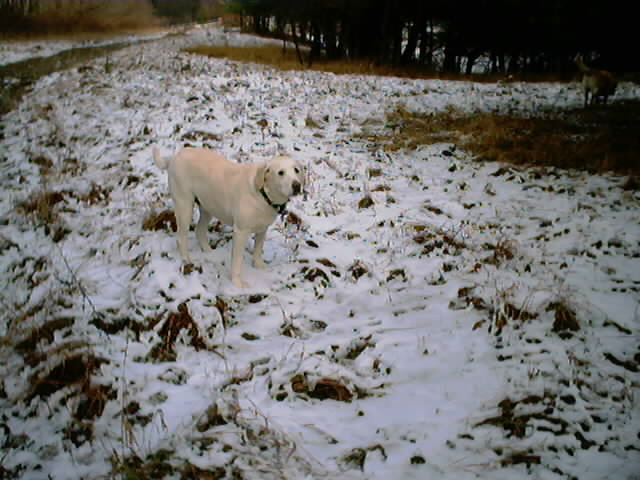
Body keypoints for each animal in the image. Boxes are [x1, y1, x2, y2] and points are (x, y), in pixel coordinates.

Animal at [155, 148, 304, 286]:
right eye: (280, 173)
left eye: (296, 170)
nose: (297, 185)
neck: (263, 194)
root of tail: (175, 156)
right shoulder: (240, 232)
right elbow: (237, 261)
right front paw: (237, 283)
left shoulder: (262, 229)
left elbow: (257, 250)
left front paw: (259, 266)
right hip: (184, 205)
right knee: (181, 238)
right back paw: (187, 262)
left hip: (208, 206)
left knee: (199, 231)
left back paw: (210, 253)